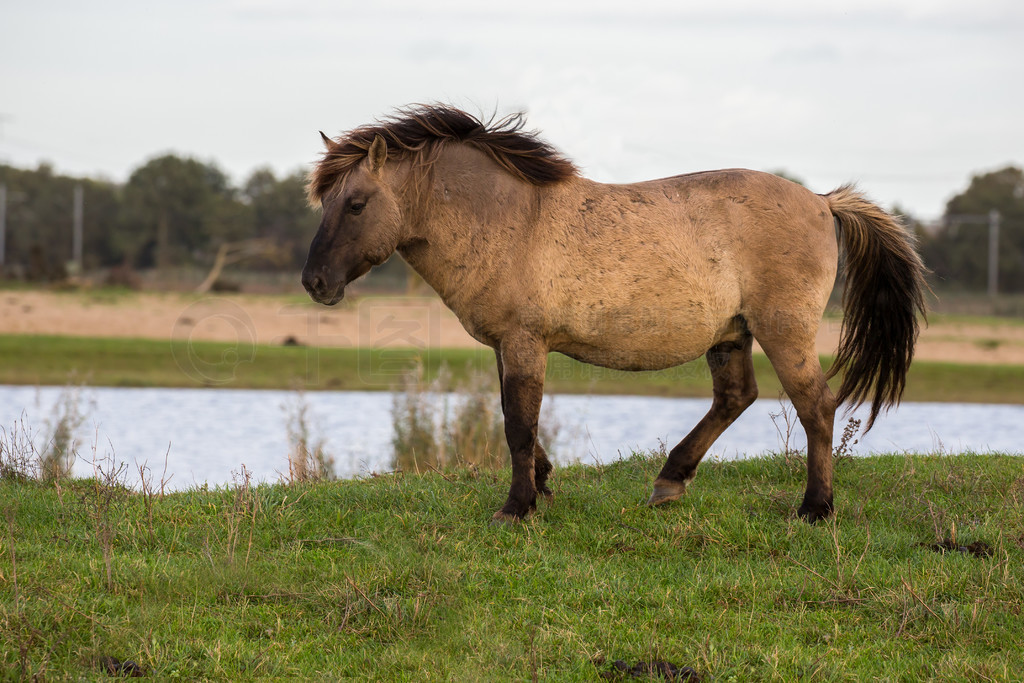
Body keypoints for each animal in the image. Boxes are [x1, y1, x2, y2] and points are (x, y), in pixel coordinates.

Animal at [301, 105, 929, 524]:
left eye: (356, 203)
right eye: (325, 201)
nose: (315, 283)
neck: (507, 219)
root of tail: (823, 201)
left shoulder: (524, 341)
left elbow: (518, 423)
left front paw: (516, 508)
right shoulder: (510, 346)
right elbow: (519, 420)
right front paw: (543, 484)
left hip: (784, 332)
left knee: (816, 405)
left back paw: (815, 508)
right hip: (731, 335)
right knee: (736, 398)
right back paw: (670, 482)